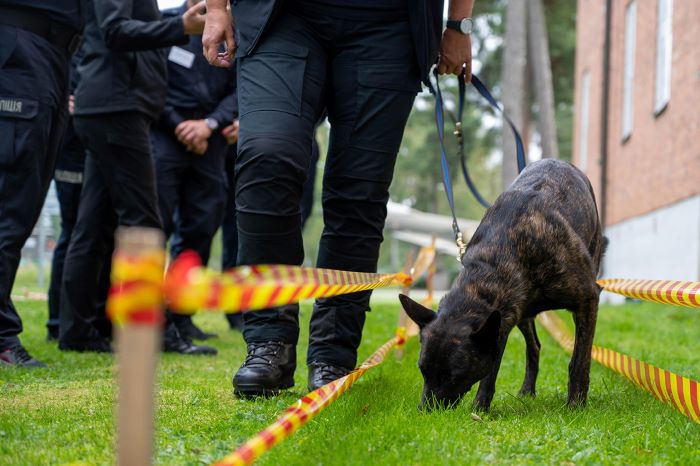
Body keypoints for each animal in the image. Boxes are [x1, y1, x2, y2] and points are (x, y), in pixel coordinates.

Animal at [400, 159, 608, 412]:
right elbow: (492, 367)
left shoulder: (587, 300)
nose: (425, 413)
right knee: (534, 347)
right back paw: (527, 391)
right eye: (422, 370)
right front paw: (480, 409)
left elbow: (579, 360)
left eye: (453, 376)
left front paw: (576, 405)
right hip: (521, 313)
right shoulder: (501, 320)